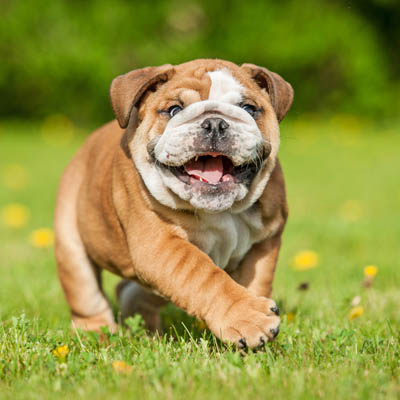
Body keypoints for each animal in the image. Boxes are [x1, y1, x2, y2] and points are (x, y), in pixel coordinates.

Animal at [54, 57, 292, 348]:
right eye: (174, 109)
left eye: (248, 108)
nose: (215, 123)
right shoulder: (163, 246)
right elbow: (206, 277)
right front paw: (248, 317)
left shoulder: (263, 244)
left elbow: (256, 282)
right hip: (71, 245)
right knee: (87, 295)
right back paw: (98, 333)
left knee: (135, 291)